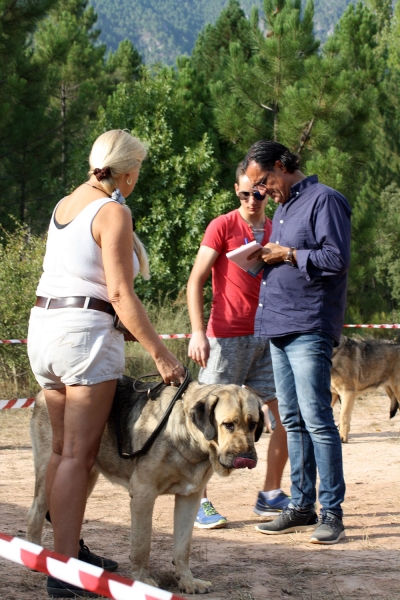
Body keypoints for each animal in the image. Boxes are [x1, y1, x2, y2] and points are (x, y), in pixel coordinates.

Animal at [26, 380, 264, 596]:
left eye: (253, 424)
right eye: (228, 424)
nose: (247, 458)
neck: (189, 437)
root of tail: (41, 393)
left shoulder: (190, 498)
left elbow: (183, 547)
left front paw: (187, 581)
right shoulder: (143, 494)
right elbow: (142, 544)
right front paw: (142, 581)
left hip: (87, 476)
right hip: (51, 468)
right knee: (35, 513)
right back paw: (36, 556)